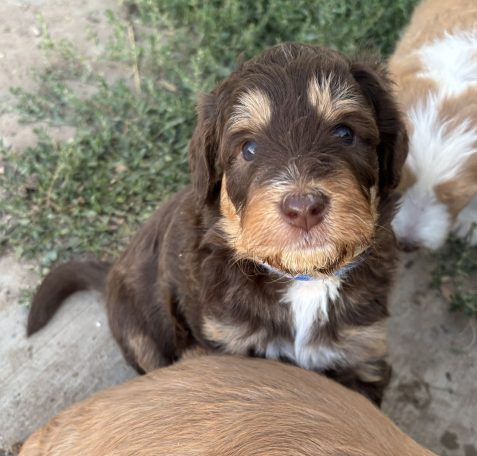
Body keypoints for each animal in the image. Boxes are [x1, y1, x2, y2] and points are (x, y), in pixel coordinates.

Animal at [27, 43, 408, 405]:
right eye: (248, 148)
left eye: (345, 132)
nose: (303, 208)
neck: (304, 278)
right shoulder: (223, 345)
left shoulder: (362, 351)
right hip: (136, 328)